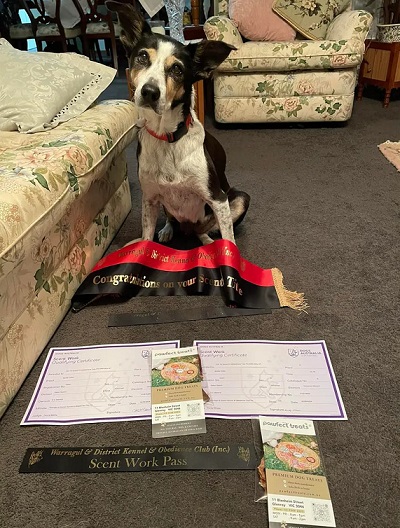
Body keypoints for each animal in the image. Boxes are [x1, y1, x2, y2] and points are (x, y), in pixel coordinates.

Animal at [106, 0, 250, 245]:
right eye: (142, 57)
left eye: (177, 69)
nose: (149, 92)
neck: (167, 137)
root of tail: (187, 228)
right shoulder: (149, 198)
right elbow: (146, 236)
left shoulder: (218, 199)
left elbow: (228, 239)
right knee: (172, 220)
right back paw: (167, 231)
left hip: (238, 198)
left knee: (204, 230)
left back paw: (207, 241)